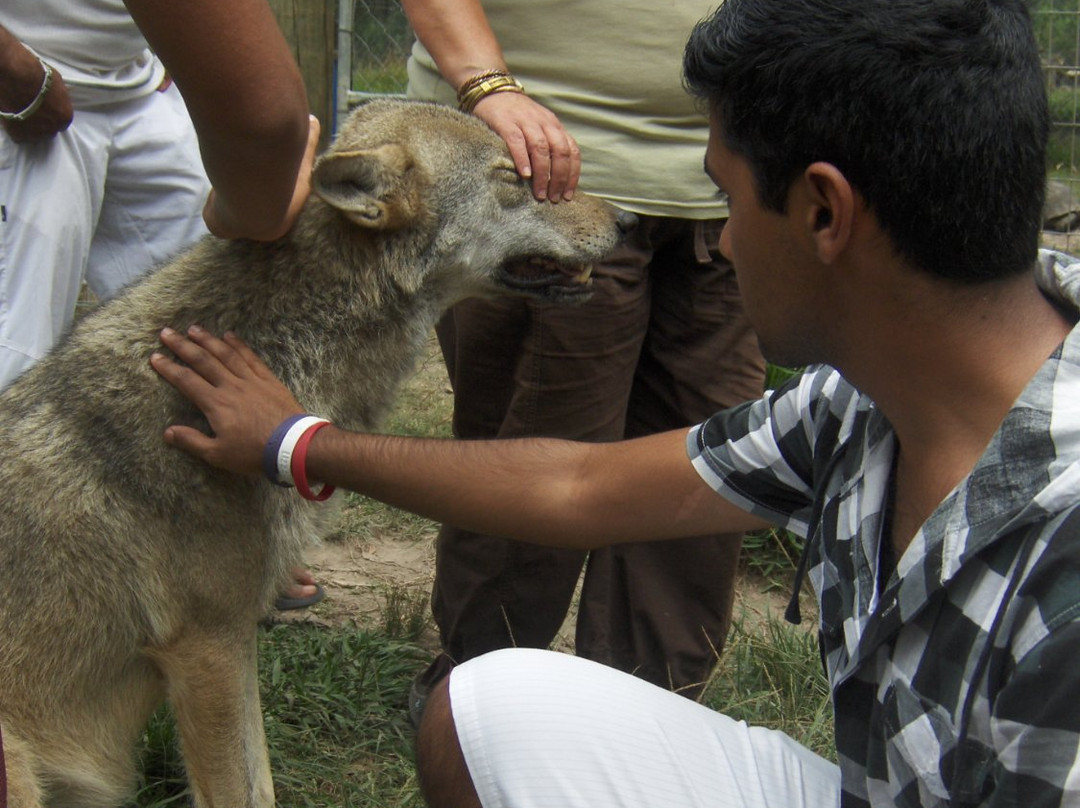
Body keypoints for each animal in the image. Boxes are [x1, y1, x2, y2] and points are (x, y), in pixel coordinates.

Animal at [0, 98, 632, 808]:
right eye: (513, 178)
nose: (630, 222)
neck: (284, 342)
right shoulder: (208, 643)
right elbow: (244, 789)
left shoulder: (228, 639)